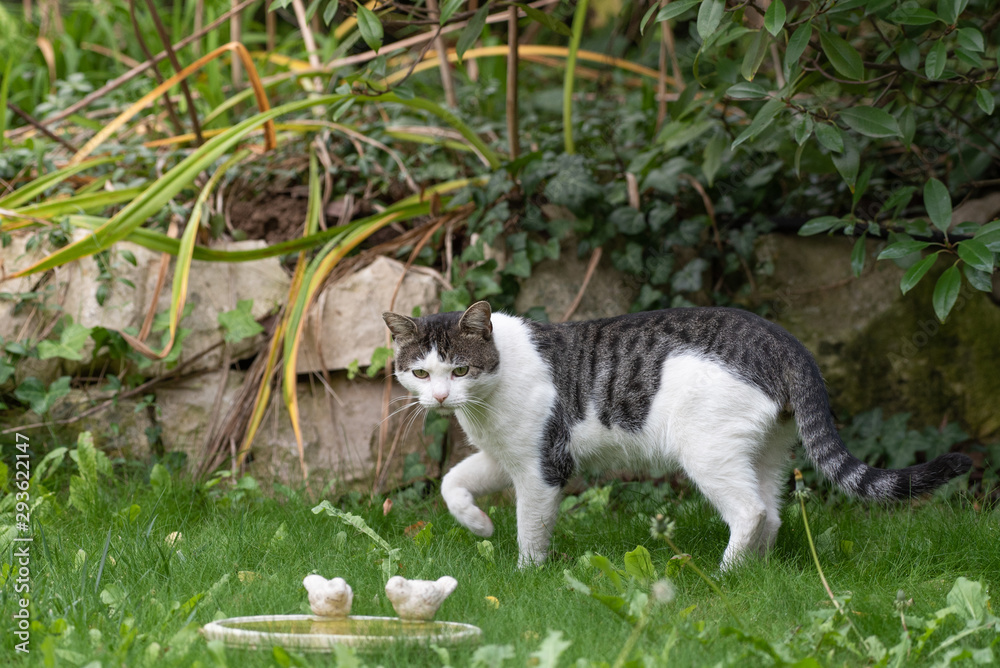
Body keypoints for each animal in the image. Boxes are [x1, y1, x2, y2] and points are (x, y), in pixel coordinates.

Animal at [380, 302, 968, 568]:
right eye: (420, 373)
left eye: (459, 370)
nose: (439, 399)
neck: (483, 405)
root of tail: (786, 343)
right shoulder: (506, 458)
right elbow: (451, 483)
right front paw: (478, 524)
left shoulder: (545, 465)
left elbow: (531, 528)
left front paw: (528, 574)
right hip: (767, 451)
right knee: (772, 513)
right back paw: (758, 573)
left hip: (708, 450)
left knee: (751, 512)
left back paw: (725, 576)